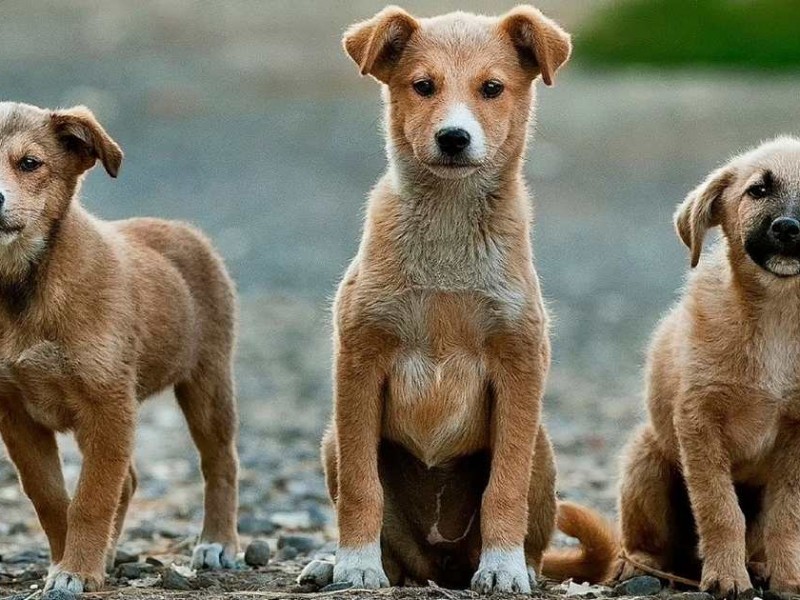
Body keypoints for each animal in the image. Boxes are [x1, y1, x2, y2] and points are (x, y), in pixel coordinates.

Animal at [0, 101, 239, 592]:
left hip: (208, 382)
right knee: (126, 481)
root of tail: (182, 229)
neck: (24, 290)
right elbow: (51, 497)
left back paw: (217, 543)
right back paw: (108, 555)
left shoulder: (108, 403)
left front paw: (76, 570)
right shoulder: (15, 413)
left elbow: (91, 499)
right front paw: (68, 563)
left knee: (220, 463)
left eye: (29, 163)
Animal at [298, 4, 576, 596]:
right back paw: (334, 562)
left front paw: (503, 567)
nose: (453, 138)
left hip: (542, 448)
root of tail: (440, 565)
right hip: (332, 440)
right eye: (423, 86)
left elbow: (504, 488)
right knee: (390, 539)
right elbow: (362, 486)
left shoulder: (520, 363)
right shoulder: (359, 361)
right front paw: (355, 563)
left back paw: (518, 566)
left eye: (492, 88)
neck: (448, 232)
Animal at [620, 138, 800, 596]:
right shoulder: (698, 421)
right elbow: (720, 509)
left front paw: (789, 578)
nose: (788, 228)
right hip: (646, 461)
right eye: (758, 190)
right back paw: (639, 568)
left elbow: (786, 517)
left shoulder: (797, 433)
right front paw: (726, 577)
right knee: (643, 542)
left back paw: (760, 566)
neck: (778, 316)